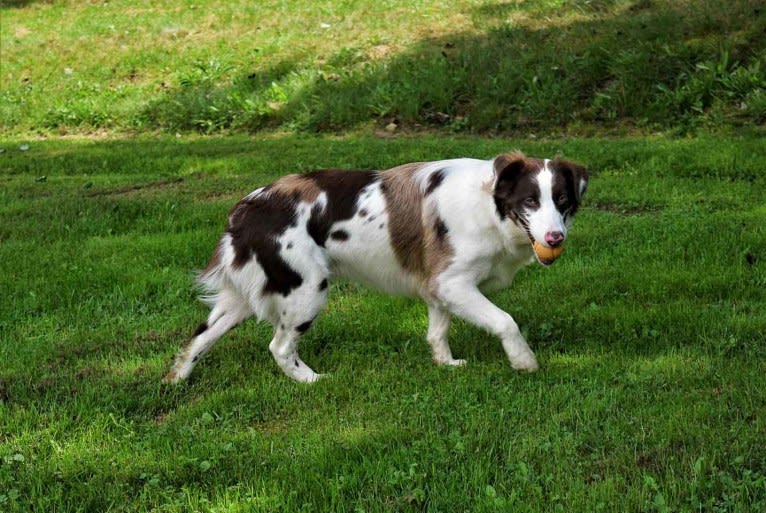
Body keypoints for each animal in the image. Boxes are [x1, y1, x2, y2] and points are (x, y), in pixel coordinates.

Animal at [165, 150, 592, 382]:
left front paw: (446, 364)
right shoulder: (453, 283)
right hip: (307, 289)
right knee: (280, 346)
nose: (555, 238)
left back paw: (175, 380)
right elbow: (506, 321)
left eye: (562, 201)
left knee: (199, 337)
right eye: (530, 201)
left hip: (242, 298)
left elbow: (437, 331)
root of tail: (247, 206)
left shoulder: (438, 285)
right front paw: (524, 361)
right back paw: (311, 380)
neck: (489, 205)